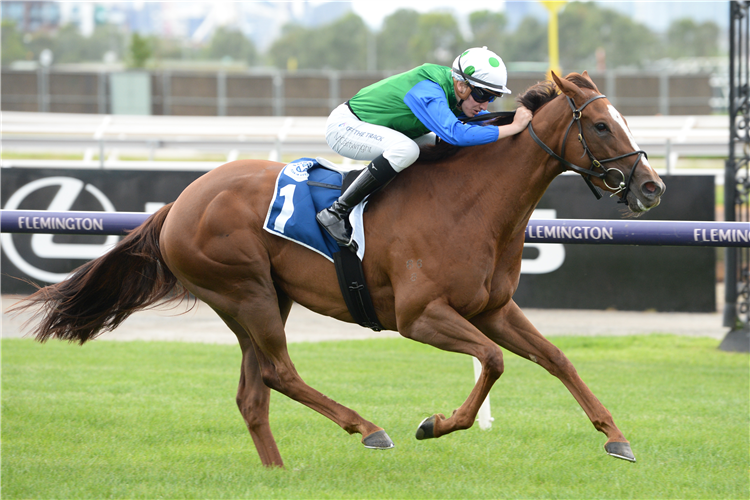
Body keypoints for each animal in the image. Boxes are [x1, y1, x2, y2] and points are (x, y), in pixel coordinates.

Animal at [13, 72, 664, 466]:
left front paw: (617, 438)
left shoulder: (493, 308)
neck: (472, 204)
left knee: (254, 392)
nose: (652, 188)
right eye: (600, 125)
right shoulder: (419, 316)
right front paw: (436, 423)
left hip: (262, 299)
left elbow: (556, 358)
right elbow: (494, 361)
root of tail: (180, 200)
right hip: (244, 291)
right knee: (278, 373)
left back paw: (277, 473)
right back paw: (368, 427)